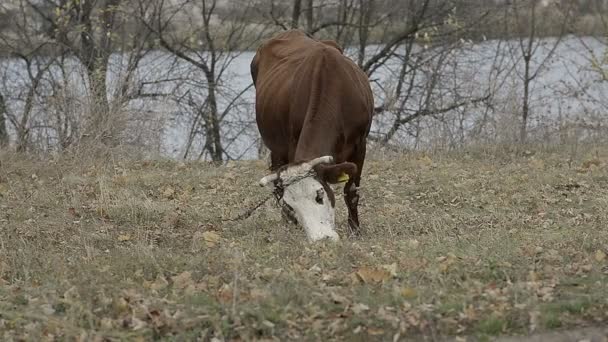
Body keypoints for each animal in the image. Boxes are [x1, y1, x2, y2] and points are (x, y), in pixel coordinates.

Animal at [249, 30, 372, 243]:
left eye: (319, 195)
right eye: (292, 205)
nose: (321, 239)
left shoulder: (360, 144)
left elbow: (351, 192)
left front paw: (355, 231)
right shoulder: (292, 143)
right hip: (277, 148)